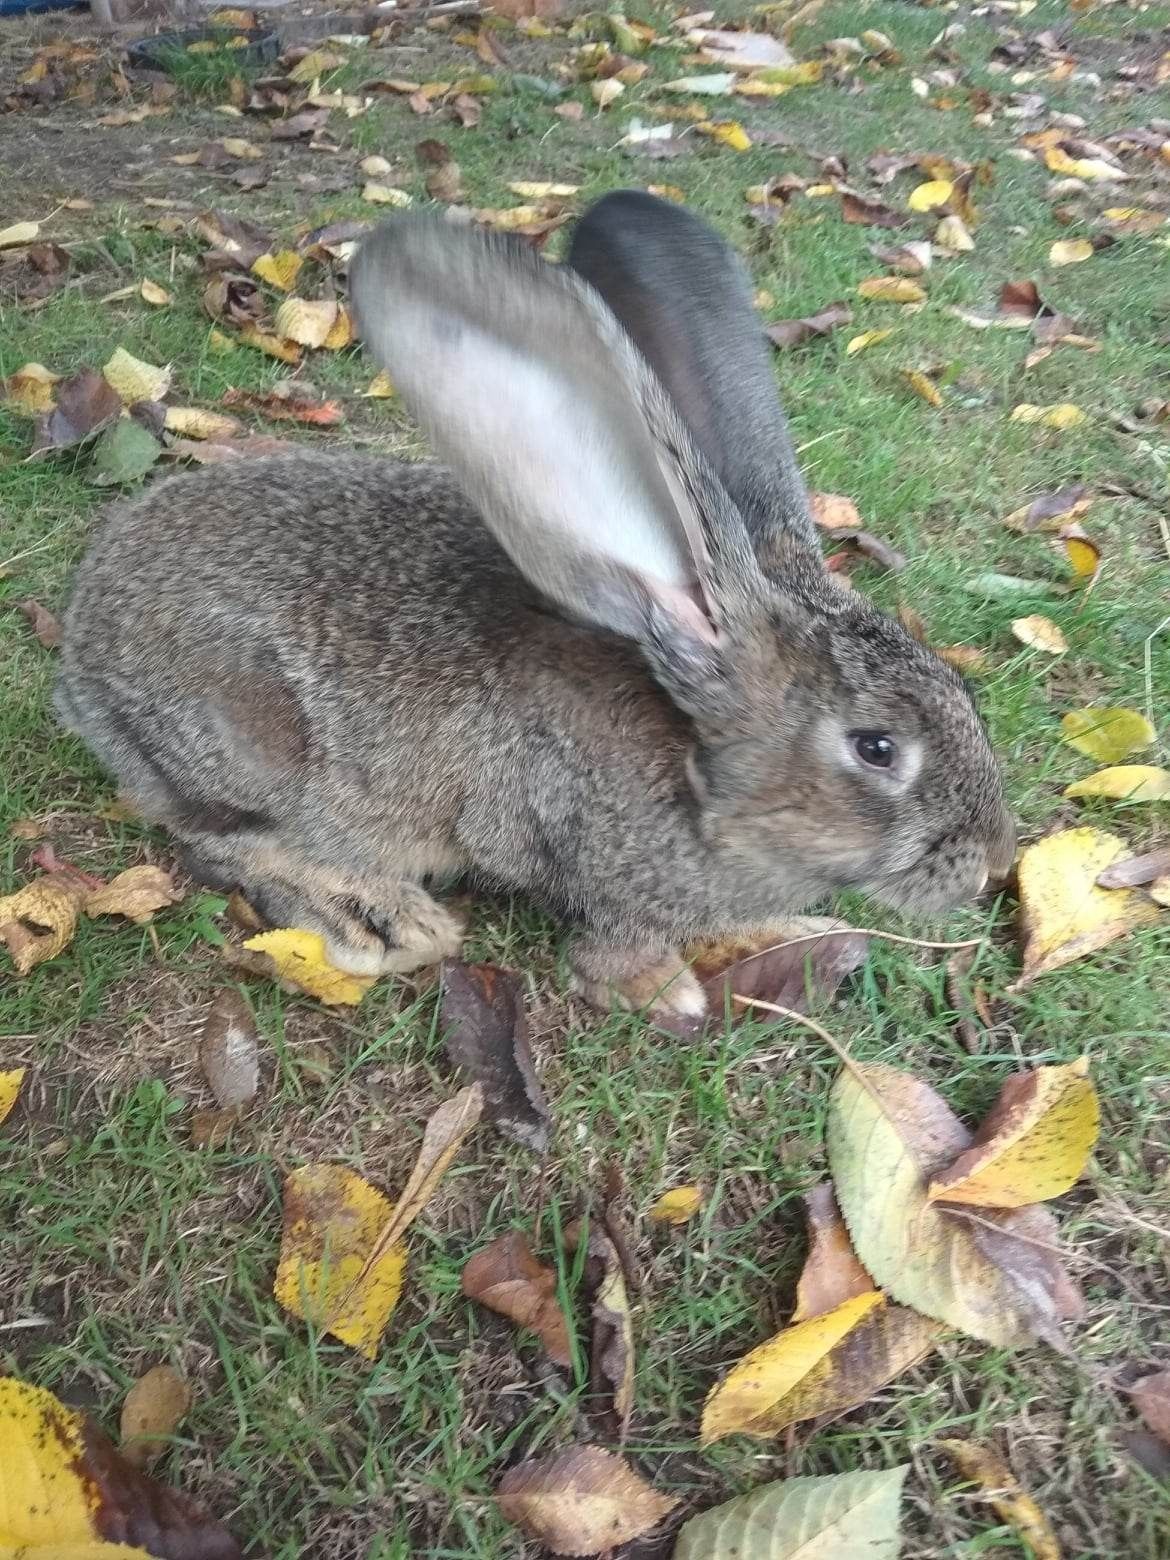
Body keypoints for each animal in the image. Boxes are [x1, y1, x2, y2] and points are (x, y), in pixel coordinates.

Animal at [54, 191, 1010, 1023]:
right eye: (877, 748)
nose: (989, 866)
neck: (699, 774)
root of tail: (79, 658)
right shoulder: (583, 853)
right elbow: (614, 936)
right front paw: (661, 993)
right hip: (244, 739)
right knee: (218, 838)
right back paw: (382, 917)